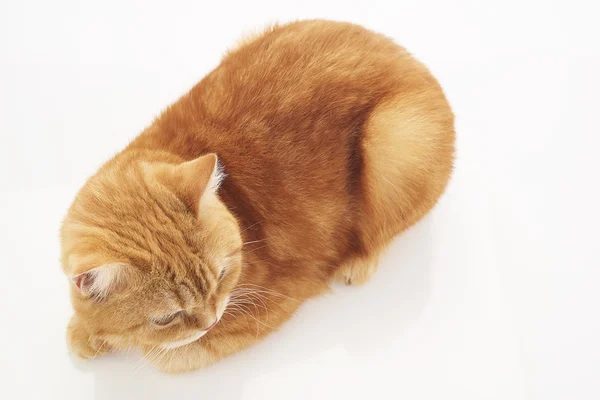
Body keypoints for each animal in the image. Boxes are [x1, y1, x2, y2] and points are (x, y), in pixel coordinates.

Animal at [61, 20, 454, 374]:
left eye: (222, 276)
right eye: (167, 316)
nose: (209, 320)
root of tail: (409, 58)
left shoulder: (273, 300)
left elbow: (171, 355)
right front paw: (87, 330)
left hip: (394, 140)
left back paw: (358, 261)